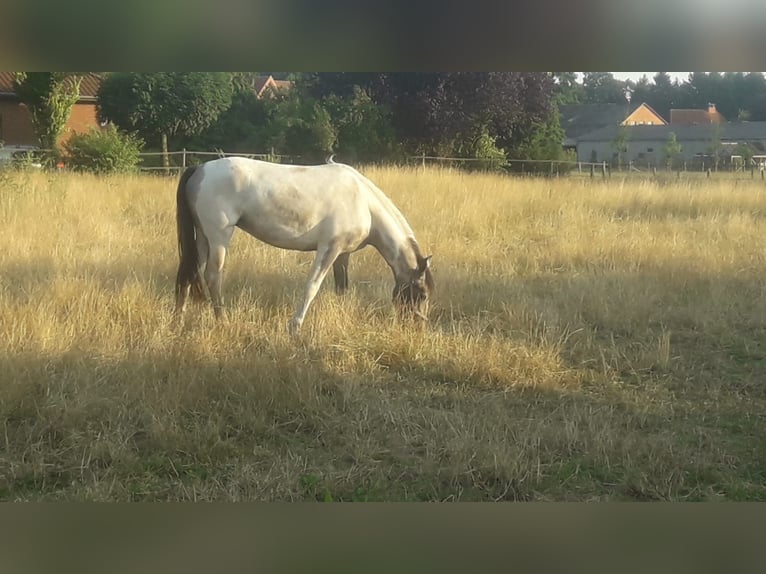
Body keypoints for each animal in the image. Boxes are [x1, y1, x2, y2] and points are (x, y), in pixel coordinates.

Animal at [176, 158, 436, 338]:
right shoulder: (329, 249)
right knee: (213, 276)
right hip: (219, 236)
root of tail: (199, 168)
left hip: (202, 238)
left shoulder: (343, 254)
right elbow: (312, 287)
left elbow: (342, 287)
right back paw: (222, 320)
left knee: (189, 273)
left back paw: (178, 318)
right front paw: (295, 328)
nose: (418, 328)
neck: (364, 203)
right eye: (422, 294)